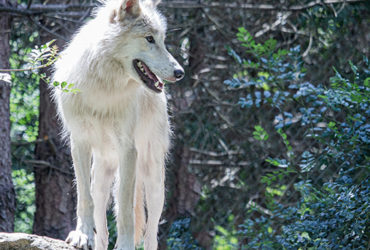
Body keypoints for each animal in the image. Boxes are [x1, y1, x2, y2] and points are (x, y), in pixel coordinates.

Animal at [51, 0, 184, 250]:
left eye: (162, 39)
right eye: (149, 38)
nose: (180, 72)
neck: (104, 85)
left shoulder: (128, 149)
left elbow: (125, 211)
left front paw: (125, 245)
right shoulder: (79, 143)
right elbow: (84, 199)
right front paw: (82, 235)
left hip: (153, 181)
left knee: (151, 235)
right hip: (101, 180)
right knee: (102, 230)